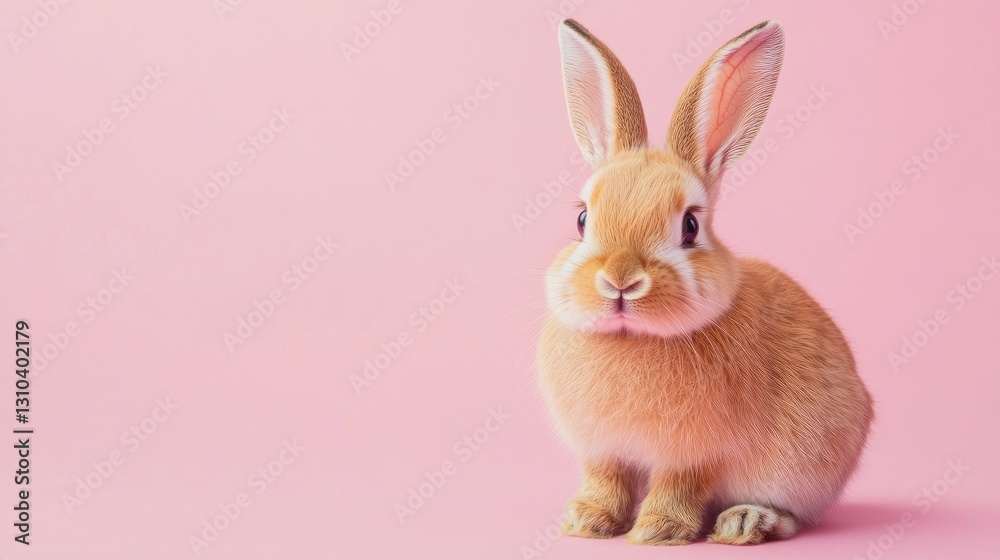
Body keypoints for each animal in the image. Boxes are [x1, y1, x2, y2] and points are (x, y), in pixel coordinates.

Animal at [537, 19, 874, 546]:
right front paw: (586, 522)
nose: (620, 281)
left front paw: (656, 531)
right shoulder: (603, 451)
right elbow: (605, 481)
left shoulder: (696, 456)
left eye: (690, 226)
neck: (632, 339)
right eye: (582, 219)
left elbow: (679, 487)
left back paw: (745, 522)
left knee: (795, 517)